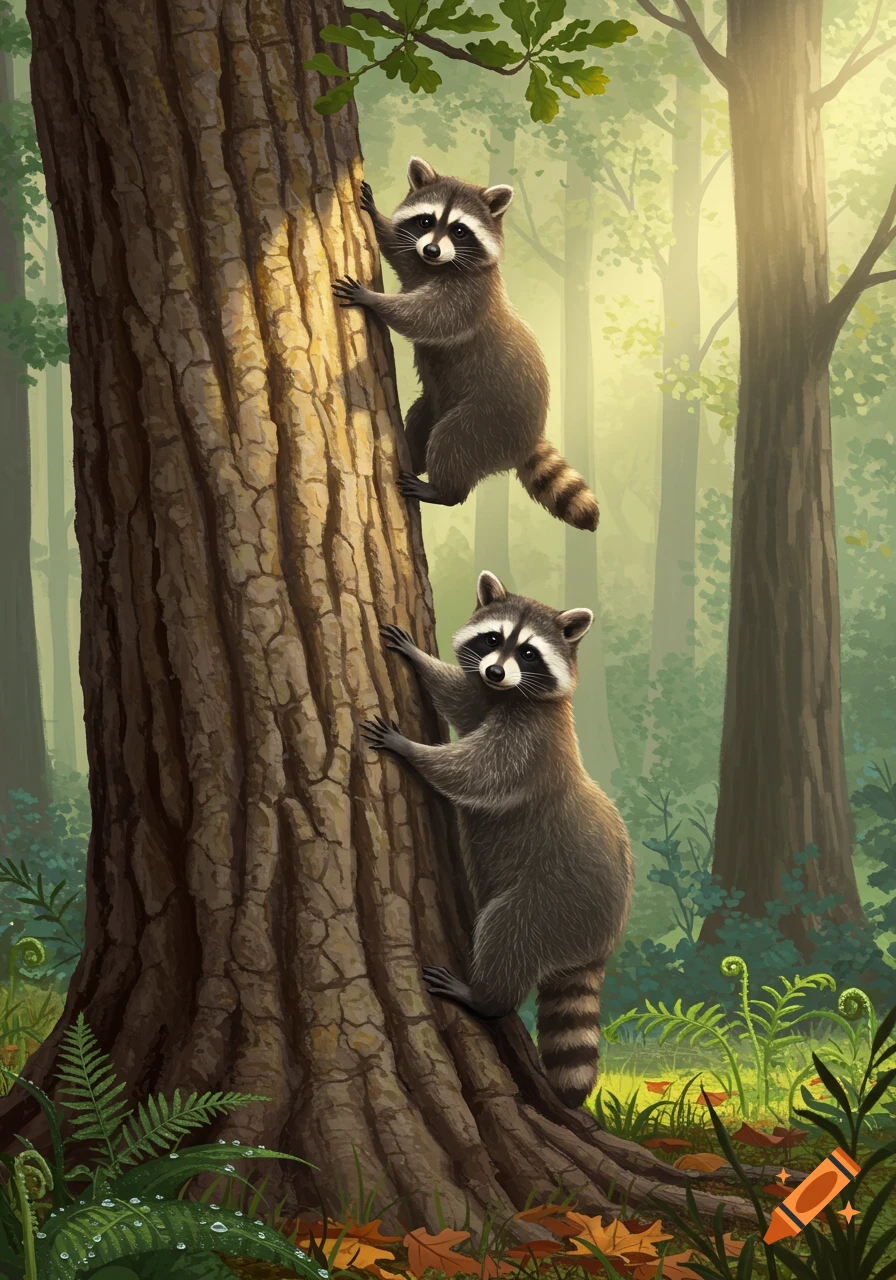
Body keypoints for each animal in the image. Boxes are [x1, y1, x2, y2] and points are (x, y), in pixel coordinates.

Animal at [332, 157, 600, 532]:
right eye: (426, 221)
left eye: (459, 230)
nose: (431, 249)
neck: (440, 265)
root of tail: (530, 436)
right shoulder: (419, 262)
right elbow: (400, 254)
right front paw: (378, 217)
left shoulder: (471, 297)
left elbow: (428, 318)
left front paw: (373, 300)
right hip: (437, 403)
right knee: (421, 420)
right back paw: (413, 455)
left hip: (490, 417)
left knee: (453, 441)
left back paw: (443, 491)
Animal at [360, 571, 633, 1108]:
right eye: (492, 640)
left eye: (528, 652)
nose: (495, 671)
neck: (512, 695)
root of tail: (601, 942)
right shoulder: (487, 698)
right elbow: (460, 700)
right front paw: (421, 660)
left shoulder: (529, 742)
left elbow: (478, 772)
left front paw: (412, 750)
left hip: (554, 900)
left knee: (509, 931)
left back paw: (484, 998)